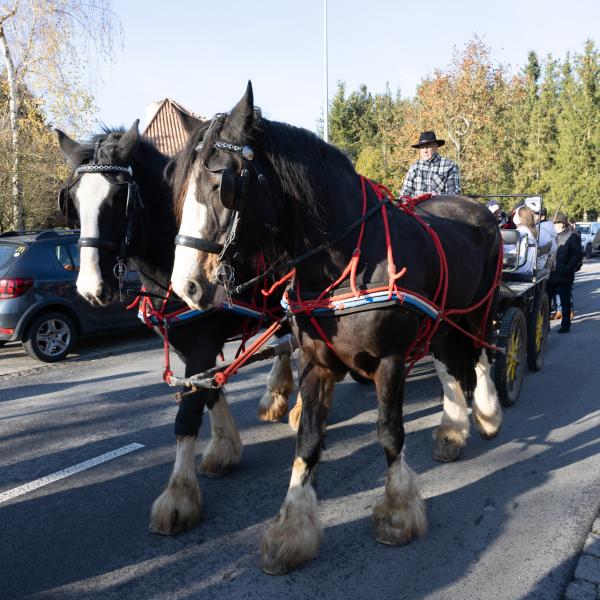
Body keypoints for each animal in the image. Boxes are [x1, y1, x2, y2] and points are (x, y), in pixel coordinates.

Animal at [55, 120, 298, 536]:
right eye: (73, 201)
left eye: (119, 199)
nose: (90, 288)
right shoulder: (188, 345)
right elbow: (208, 391)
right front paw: (225, 448)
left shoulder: (202, 341)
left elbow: (187, 414)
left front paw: (179, 497)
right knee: (284, 342)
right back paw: (277, 396)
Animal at [170, 82, 506, 576]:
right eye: (179, 189)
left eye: (223, 184)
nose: (187, 285)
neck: (348, 260)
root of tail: (480, 210)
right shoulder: (318, 363)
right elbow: (308, 440)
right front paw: (292, 528)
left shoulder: (390, 361)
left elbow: (389, 432)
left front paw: (397, 511)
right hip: (441, 320)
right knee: (449, 364)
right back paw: (452, 428)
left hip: (477, 309)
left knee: (480, 355)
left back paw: (486, 412)